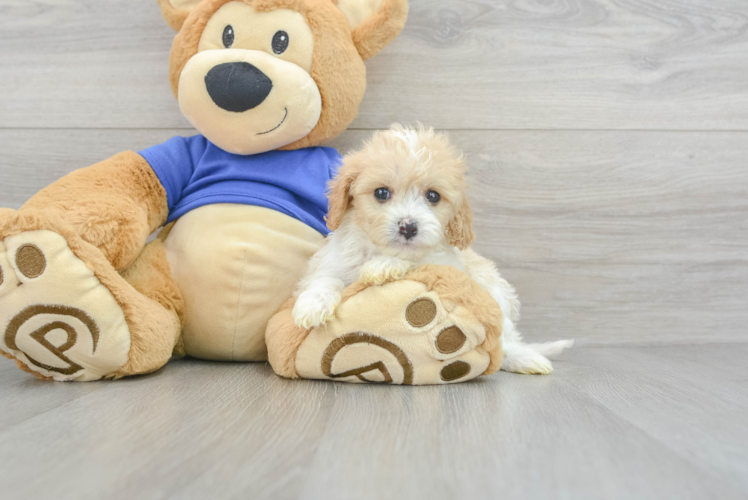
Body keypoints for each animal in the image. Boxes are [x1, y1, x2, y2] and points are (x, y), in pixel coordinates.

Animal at [292, 125, 572, 376]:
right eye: (381, 193)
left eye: (433, 196)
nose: (408, 227)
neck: (378, 248)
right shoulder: (334, 260)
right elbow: (325, 278)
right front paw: (311, 305)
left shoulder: (448, 265)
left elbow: (416, 261)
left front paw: (385, 265)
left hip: (496, 293)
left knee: (506, 340)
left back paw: (525, 358)